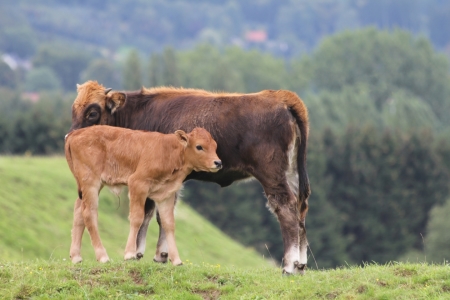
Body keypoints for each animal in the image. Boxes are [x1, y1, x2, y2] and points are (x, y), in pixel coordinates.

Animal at [64, 125, 221, 264]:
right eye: (199, 146)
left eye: (215, 146)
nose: (218, 162)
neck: (170, 152)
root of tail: (75, 133)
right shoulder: (137, 184)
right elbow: (137, 218)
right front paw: (129, 254)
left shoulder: (166, 195)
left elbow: (169, 223)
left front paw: (176, 260)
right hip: (90, 182)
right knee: (89, 214)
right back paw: (102, 256)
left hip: (87, 187)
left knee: (78, 211)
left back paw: (76, 257)